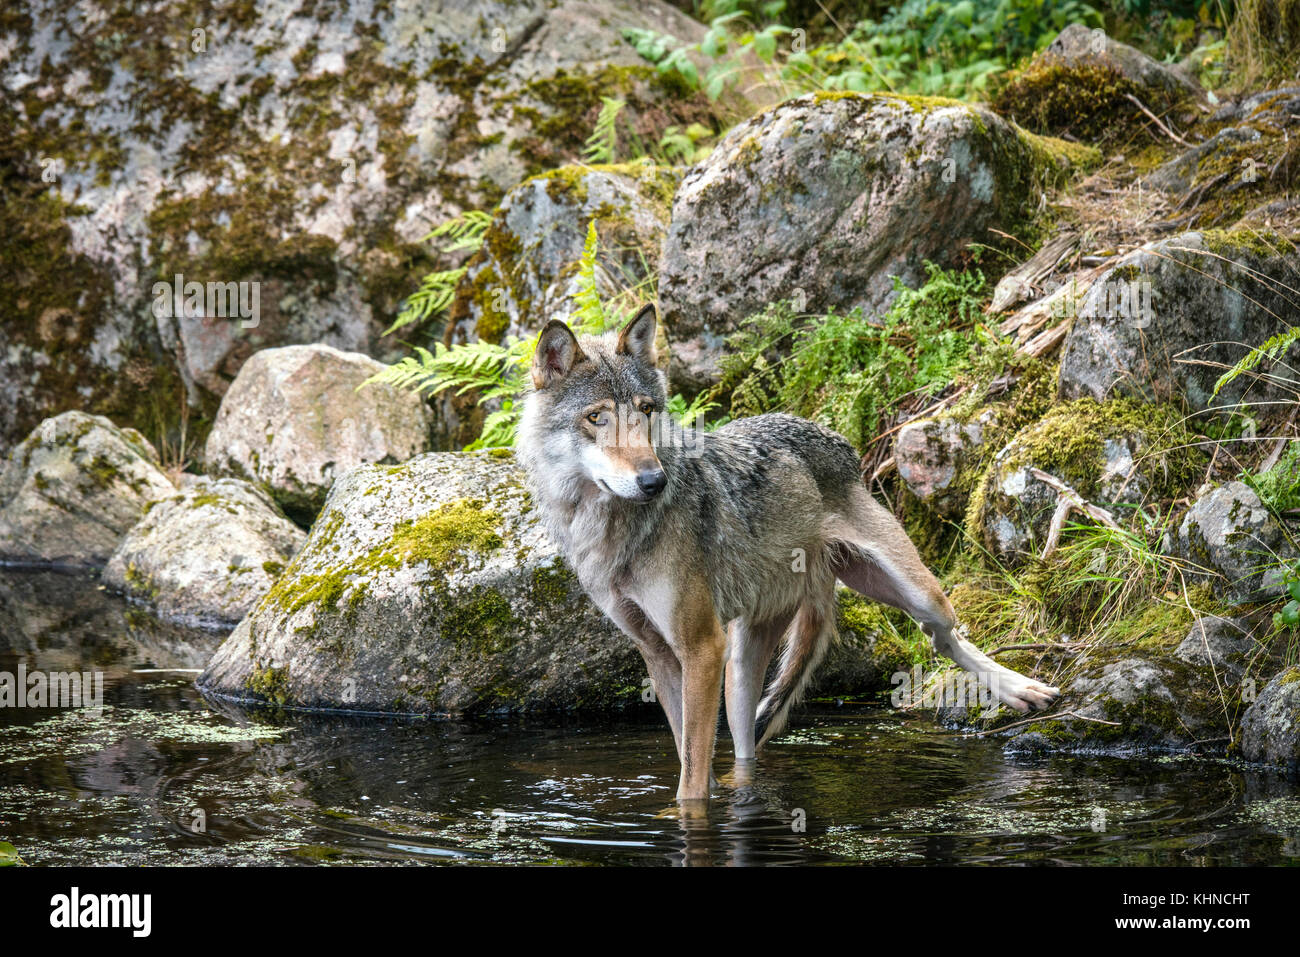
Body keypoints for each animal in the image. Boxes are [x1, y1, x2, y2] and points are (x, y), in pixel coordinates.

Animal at [517, 305, 1060, 803]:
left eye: (646, 411)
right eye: (597, 417)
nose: (655, 481)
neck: (611, 529)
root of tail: (834, 436)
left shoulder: (701, 645)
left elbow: (691, 779)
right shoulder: (661, 654)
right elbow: (691, 763)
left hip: (912, 593)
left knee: (943, 636)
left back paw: (1021, 690)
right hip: (740, 672)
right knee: (746, 750)